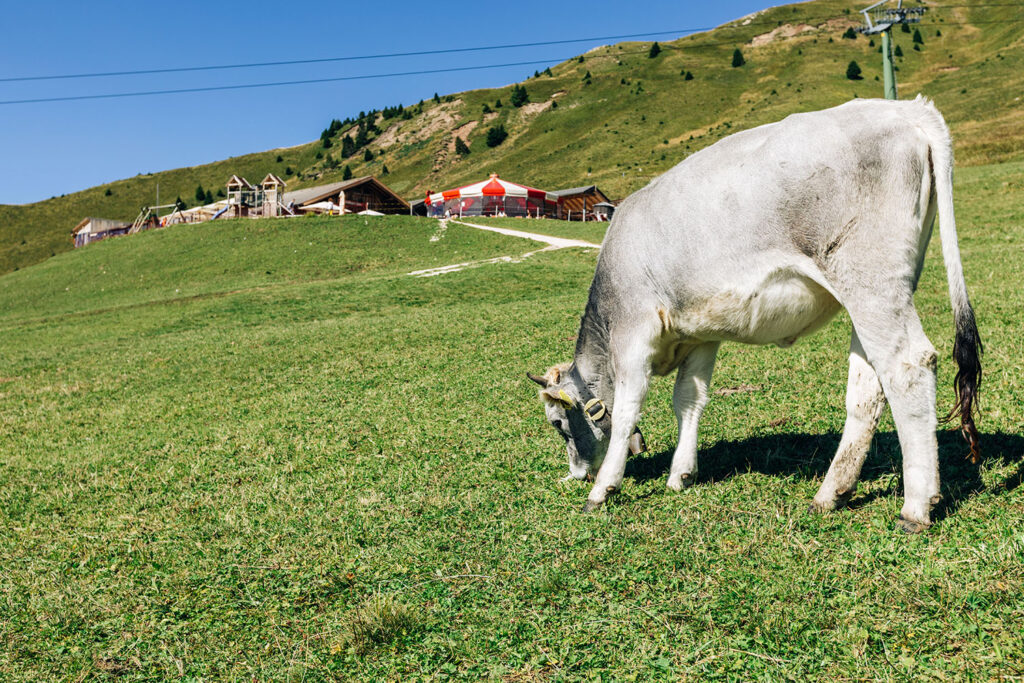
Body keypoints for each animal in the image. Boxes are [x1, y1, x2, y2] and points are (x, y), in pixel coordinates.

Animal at [532, 96, 978, 532]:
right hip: (879, 291)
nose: (577, 475)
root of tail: (906, 108)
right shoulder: (700, 334)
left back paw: (915, 507)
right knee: (868, 386)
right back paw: (831, 493)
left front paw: (604, 488)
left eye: (557, 424)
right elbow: (688, 399)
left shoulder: (633, 332)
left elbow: (628, 408)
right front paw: (681, 475)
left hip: (871, 279)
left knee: (908, 366)